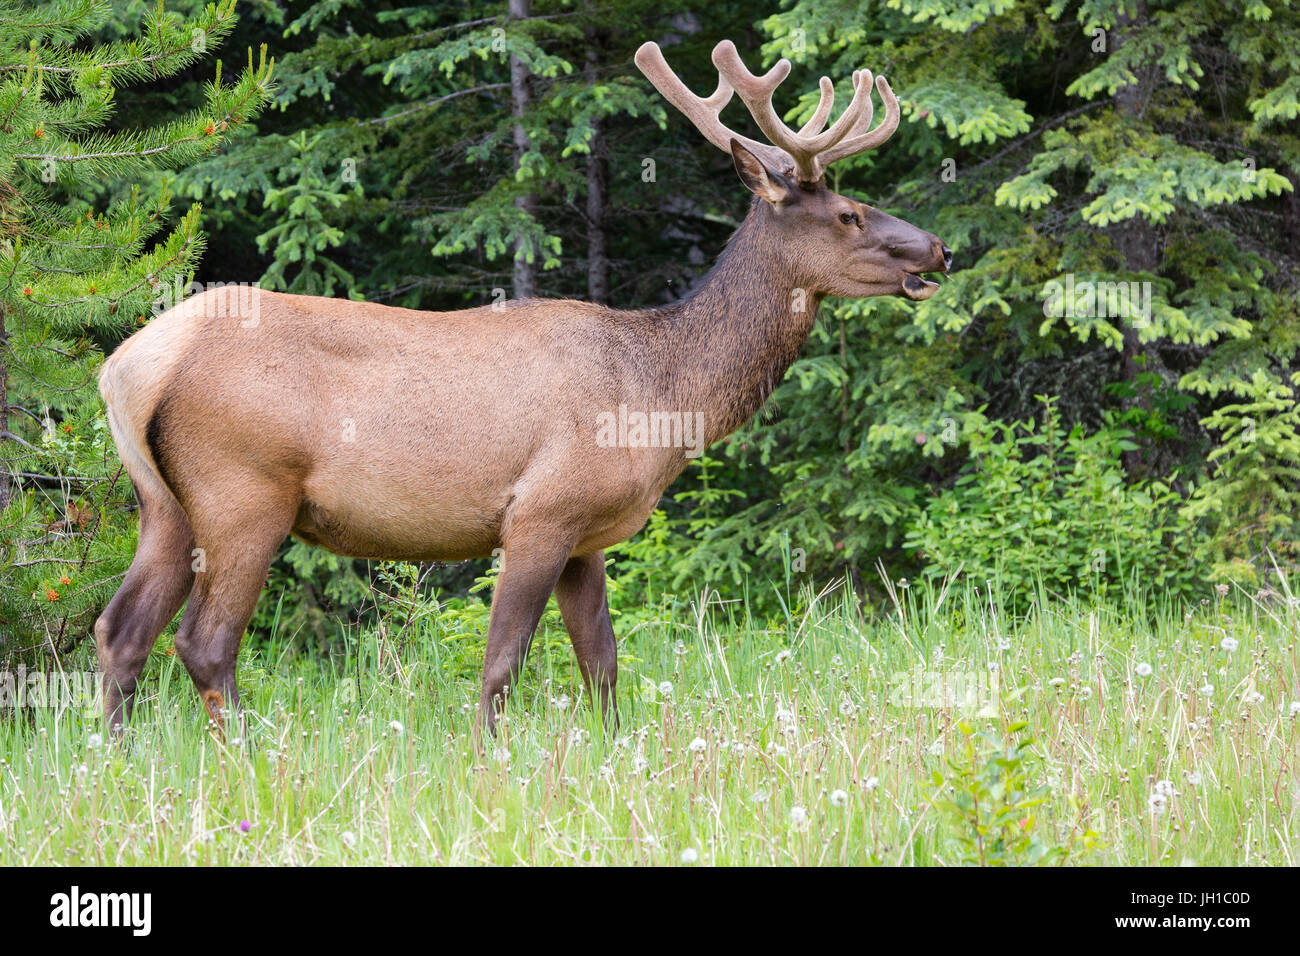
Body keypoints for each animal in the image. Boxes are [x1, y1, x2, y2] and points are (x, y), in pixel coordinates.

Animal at [91, 39, 946, 733]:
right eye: (848, 213)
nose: (937, 250)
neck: (664, 396)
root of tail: (129, 365)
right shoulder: (540, 510)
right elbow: (503, 662)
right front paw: (487, 762)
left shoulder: (587, 534)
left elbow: (603, 664)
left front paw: (611, 752)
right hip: (245, 490)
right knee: (204, 642)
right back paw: (248, 758)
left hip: (164, 503)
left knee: (120, 630)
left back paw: (121, 759)